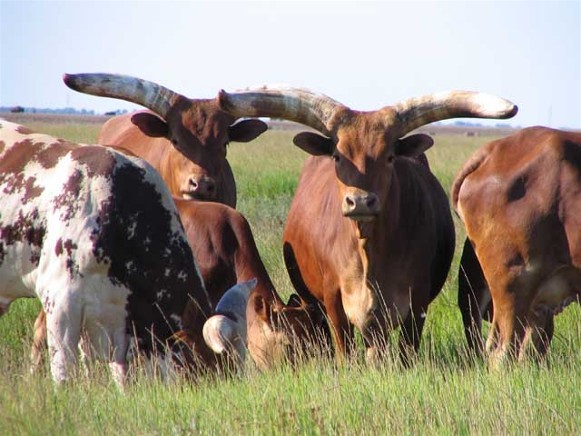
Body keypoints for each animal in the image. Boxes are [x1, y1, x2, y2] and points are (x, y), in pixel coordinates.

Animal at [218, 86, 516, 362]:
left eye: (389, 156)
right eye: (338, 157)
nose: (360, 201)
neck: (368, 253)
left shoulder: (417, 301)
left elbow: (407, 352)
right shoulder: (333, 298)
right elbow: (346, 351)